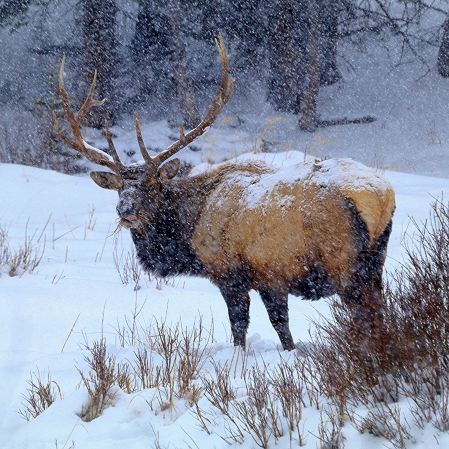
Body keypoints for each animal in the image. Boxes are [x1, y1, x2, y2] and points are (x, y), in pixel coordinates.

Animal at [54, 36, 394, 350]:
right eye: (119, 189)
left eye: (152, 186)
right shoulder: (271, 278)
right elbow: (283, 330)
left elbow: (243, 327)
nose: (126, 211)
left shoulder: (234, 272)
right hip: (376, 261)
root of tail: (381, 197)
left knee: (366, 314)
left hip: (345, 262)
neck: (190, 234)